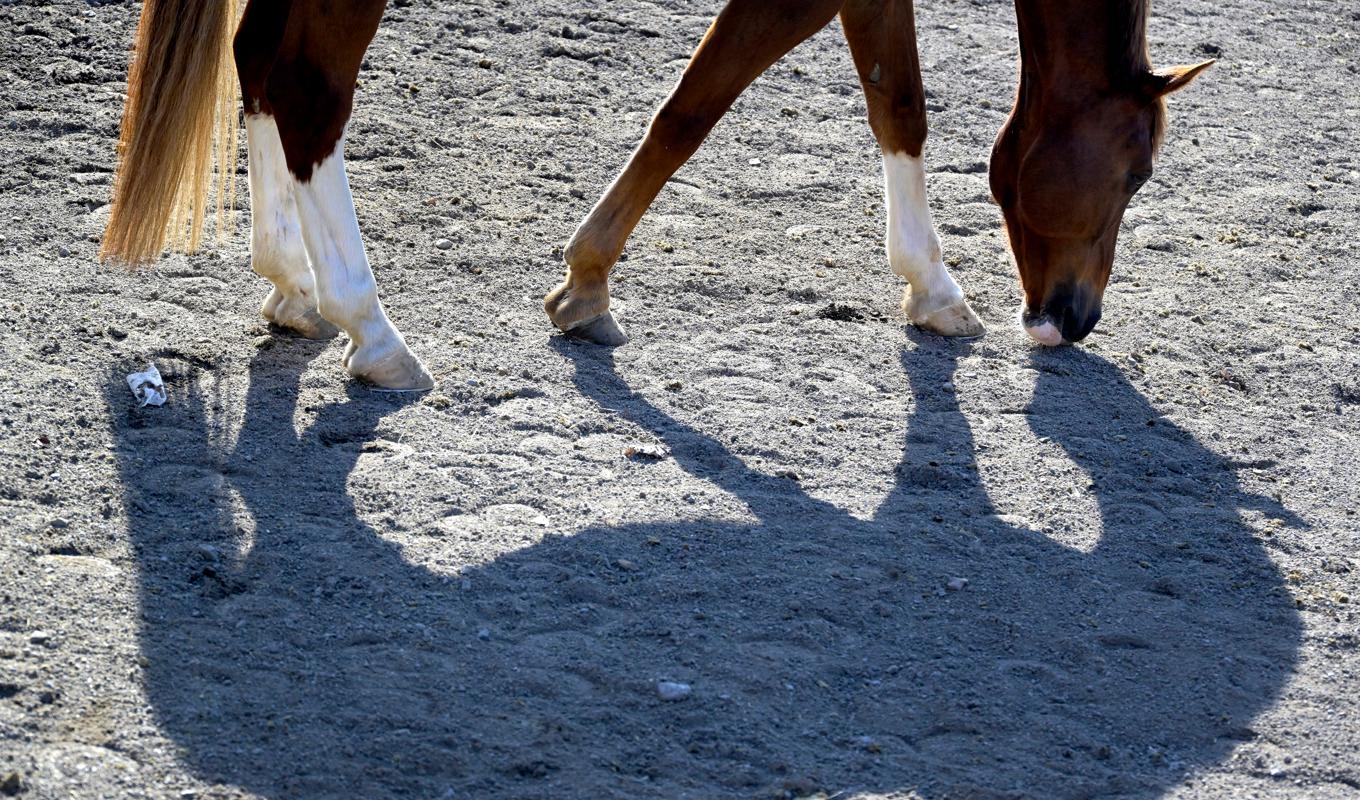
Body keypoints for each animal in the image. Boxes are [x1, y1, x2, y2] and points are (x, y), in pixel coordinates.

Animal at [103, 0, 1213, 386]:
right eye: (1140, 171)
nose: (1076, 318)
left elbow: (896, 103)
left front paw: (930, 286)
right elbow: (691, 108)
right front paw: (587, 280)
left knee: (260, 64)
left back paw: (292, 283)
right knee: (305, 89)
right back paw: (369, 327)